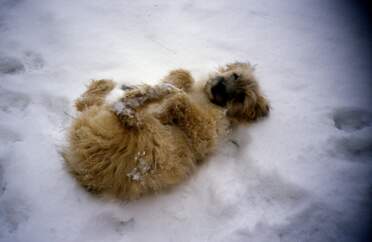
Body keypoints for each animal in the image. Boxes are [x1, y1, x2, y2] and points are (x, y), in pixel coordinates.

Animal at [62, 62, 268, 200]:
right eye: (235, 76)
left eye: (241, 98)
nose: (220, 86)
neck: (207, 99)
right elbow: (184, 77)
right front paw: (175, 84)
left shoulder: (207, 131)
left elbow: (183, 103)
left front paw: (166, 107)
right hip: (101, 117)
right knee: (86, 102)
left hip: (141, 142)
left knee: (119, 108)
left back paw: (140, 102)